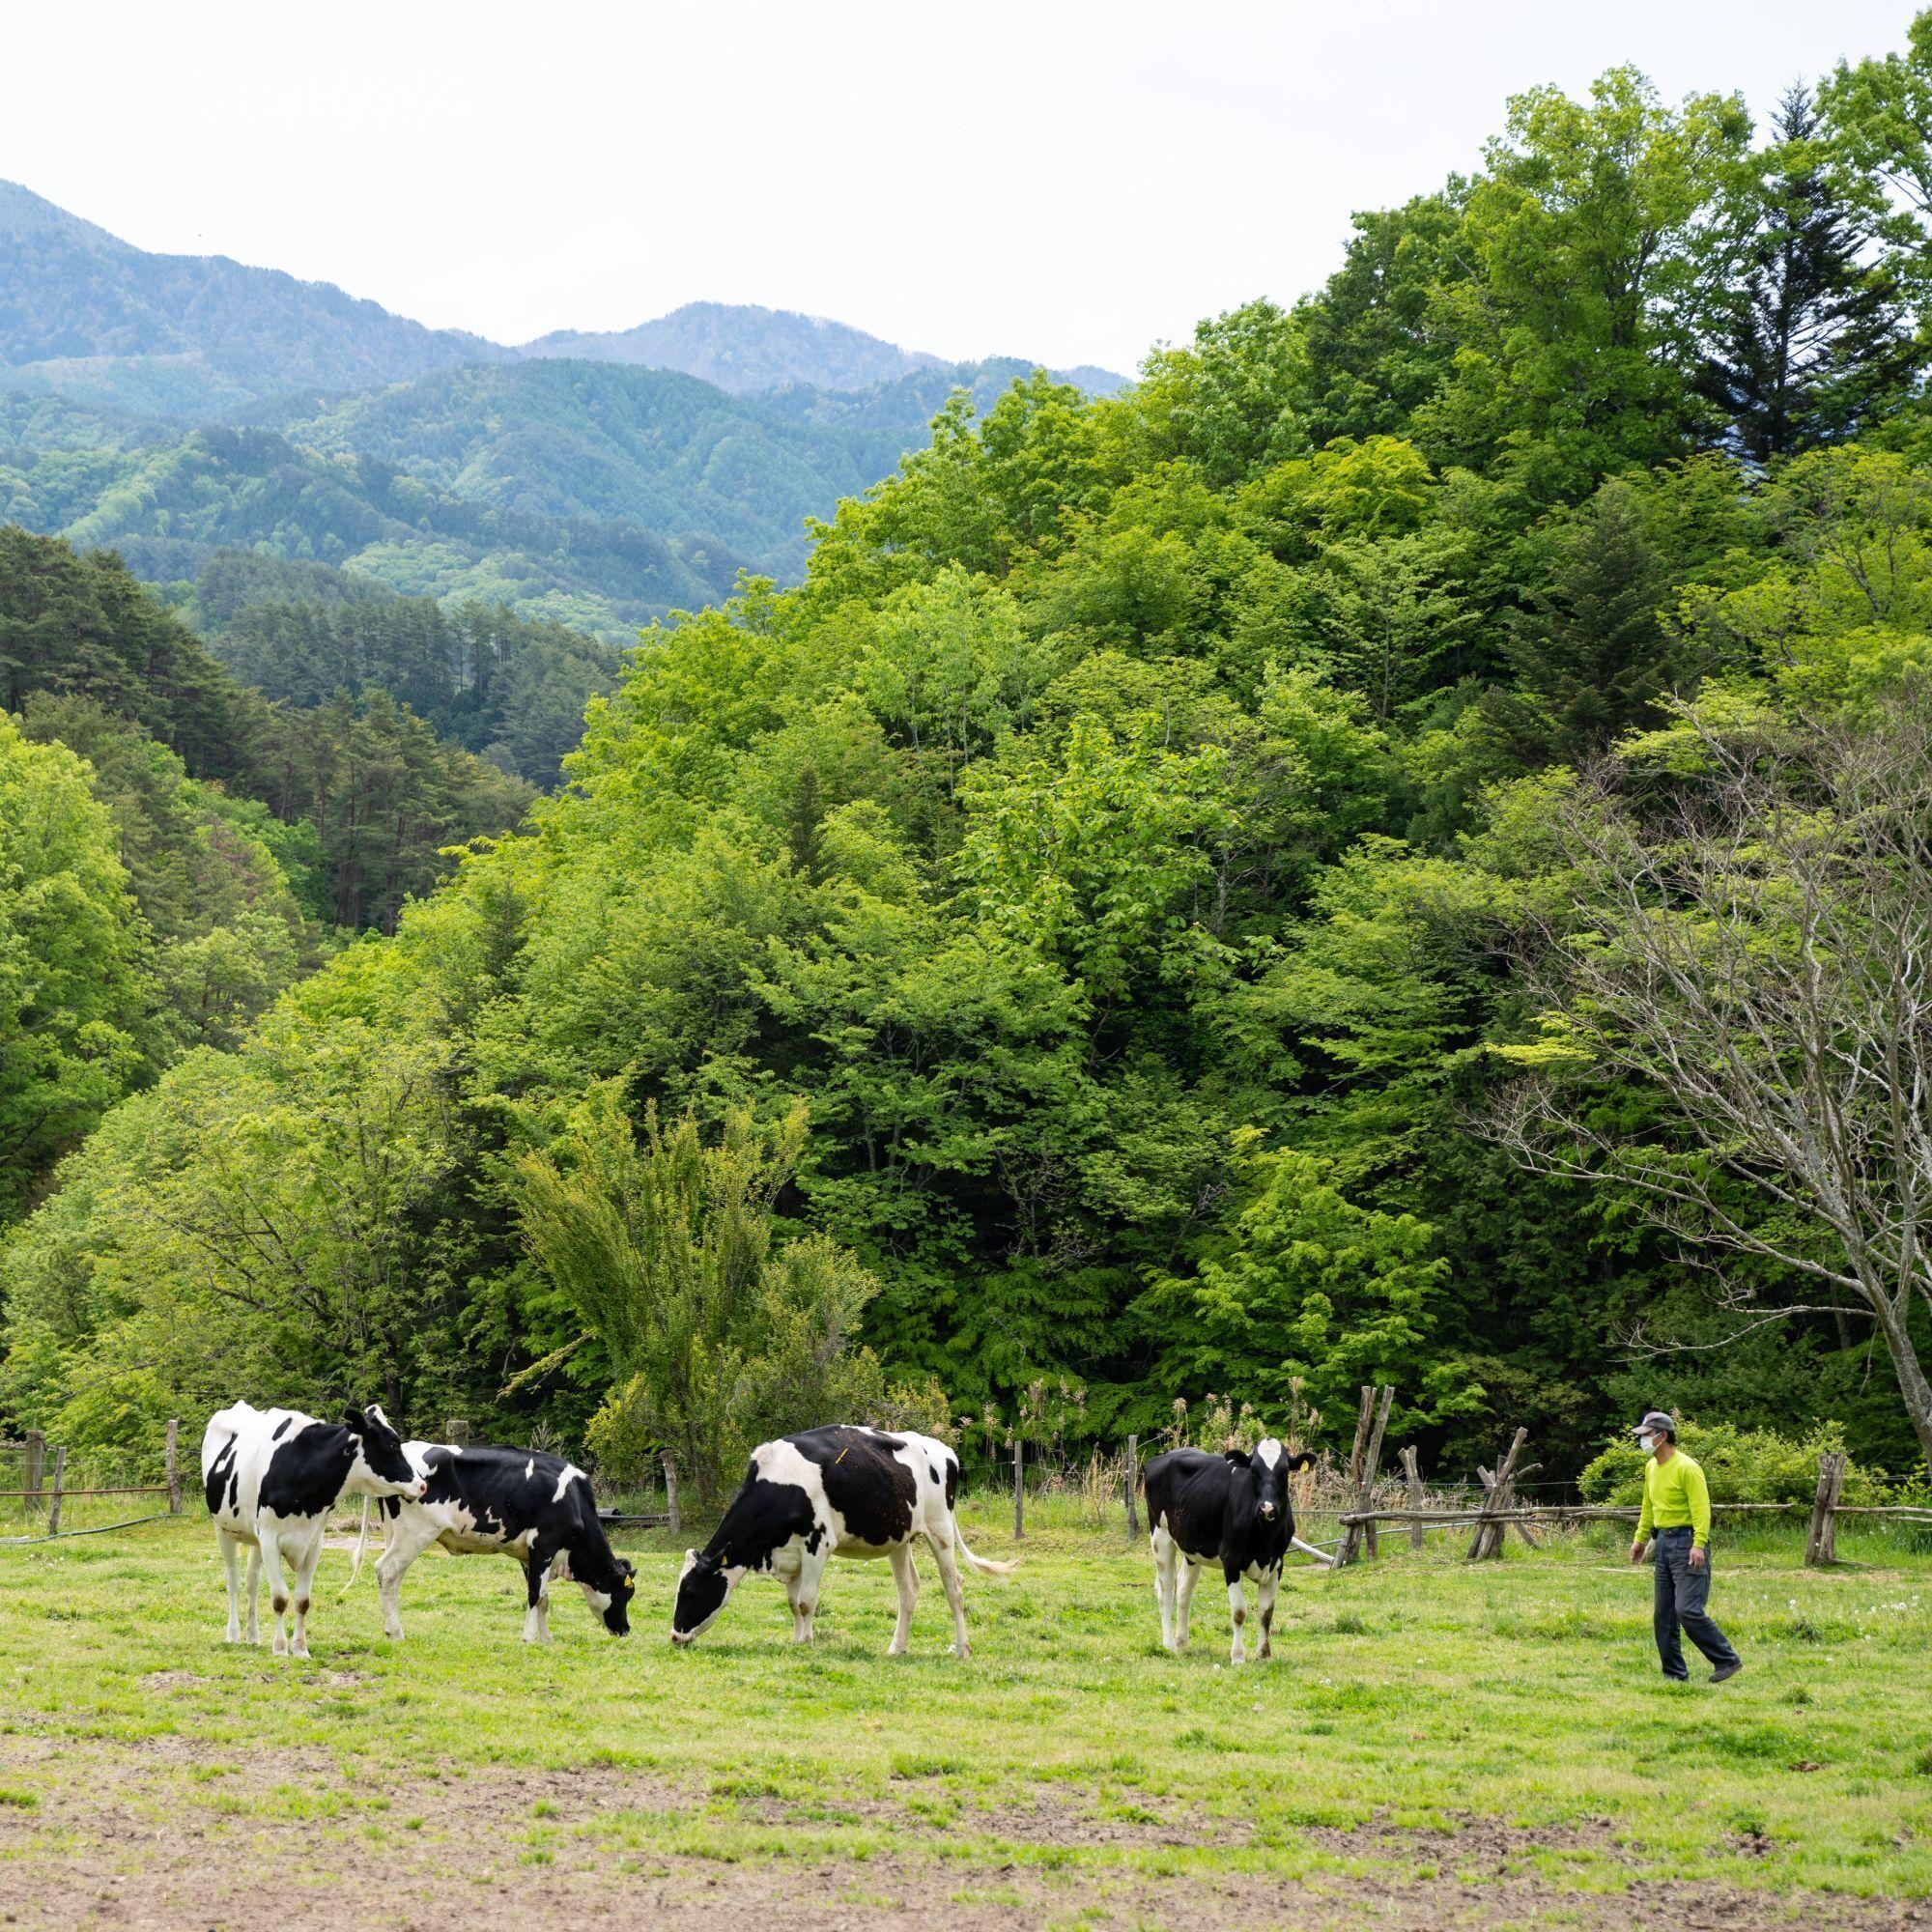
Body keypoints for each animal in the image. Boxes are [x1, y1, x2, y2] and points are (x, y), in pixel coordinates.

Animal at [201, 1401, 426, 1659]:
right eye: (392, 1444)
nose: (422, 1485)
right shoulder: (270, 1539)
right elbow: (280, 1598)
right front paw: (280, 1648)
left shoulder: (313, 1542)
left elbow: (302, 1600)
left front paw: (300, 1649)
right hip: (223, 1529)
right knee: (233, 1580)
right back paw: (233, 1634)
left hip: (255, 1538)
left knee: (252, 1582)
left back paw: (253, 1636)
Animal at [343, 1441, 636, 1644]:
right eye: (626, 1593)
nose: (626, 1629)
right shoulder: (544, 1546)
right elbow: (534, 1595)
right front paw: (529, 1639)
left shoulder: (529, 1555)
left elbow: (542, 1597)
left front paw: (546, 1640)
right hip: (416, 1533)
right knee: (386, 1570)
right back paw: (396, 1633)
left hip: (396, 1533)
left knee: (393, 1579)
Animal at [670, 1426, 1015, 1656]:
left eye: (690, 1590)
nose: (674, 1636)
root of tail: (945, 1451)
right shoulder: (791, 1554)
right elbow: (793, 1604)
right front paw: (797, 1640)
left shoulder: (817, 1544)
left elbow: (806, 1602)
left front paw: (806, 1644)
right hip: (900, 1539)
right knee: (908, 1591)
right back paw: (896, 1648)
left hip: (940, 1530)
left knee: (953, 1586)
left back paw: (961, 1648)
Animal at [1141, 1438, 1317, 1663]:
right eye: (1253, 1471)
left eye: (1285, 1471)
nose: (1267, 1508)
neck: (1264, 1539)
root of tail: (1161, 1458)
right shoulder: (1231, 1560)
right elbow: (1239, 1612)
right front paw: (1238, 1656)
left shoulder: (1277, 1563)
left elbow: (1267, 1612)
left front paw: (1264, 1654)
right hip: (1160, 1536)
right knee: (1165, 1591)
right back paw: (1169, 1645)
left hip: (1192, 1547)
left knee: (1183, 1591)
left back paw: (1182, 1642)